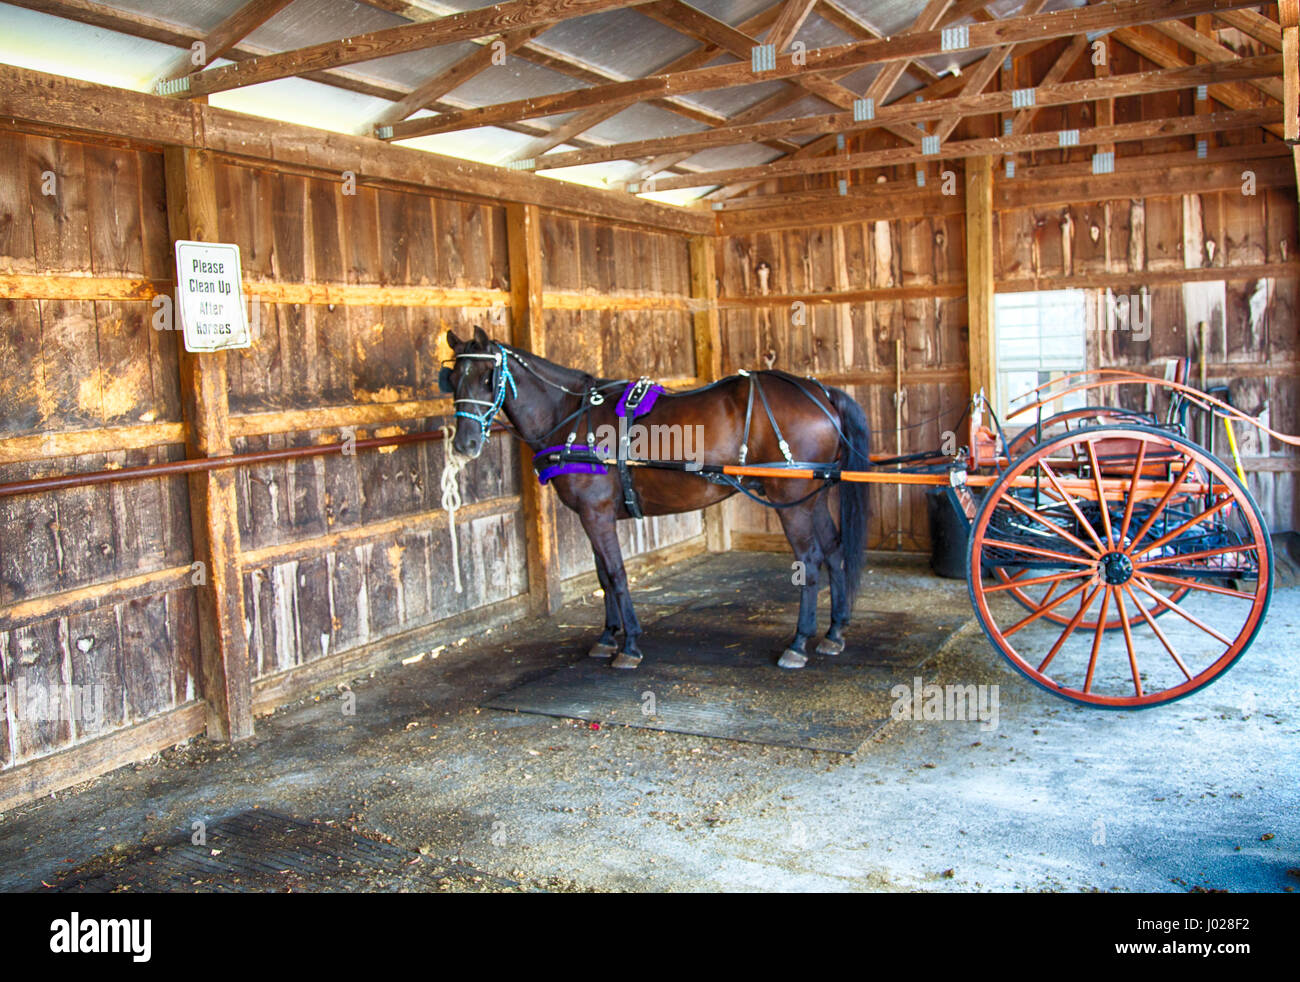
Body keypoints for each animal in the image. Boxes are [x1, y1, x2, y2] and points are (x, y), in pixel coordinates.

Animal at [441, 326, 868, 671]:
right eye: (453, 378)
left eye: (488, 377)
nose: (465, 444)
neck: (571, 415)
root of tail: (819, 392)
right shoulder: (590, 516)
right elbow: (602, 575)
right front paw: (607, 636)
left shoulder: (596, 514)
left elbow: (616, 574)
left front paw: (629, 644)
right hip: (812, 498)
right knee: (833, 550)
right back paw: (835, 632)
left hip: (791, 499)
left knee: (809, 559)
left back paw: (799, 642)